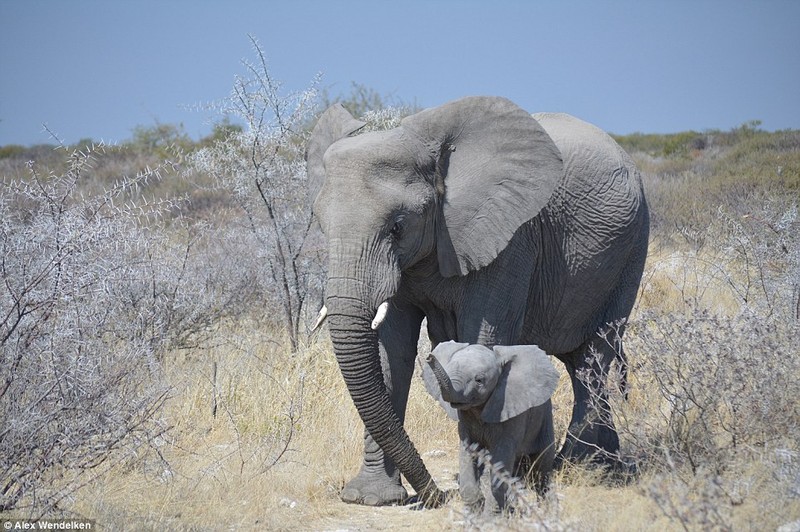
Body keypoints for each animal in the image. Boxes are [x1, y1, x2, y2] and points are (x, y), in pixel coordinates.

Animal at [422, 340, 560, 512]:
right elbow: (468, 452)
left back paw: (547, 509)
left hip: (545, 419)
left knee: (541, 468)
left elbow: (501, 455)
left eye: (479, 380)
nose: (429, 357)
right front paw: (476, 508)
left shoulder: (510, 409)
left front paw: (492, 515)